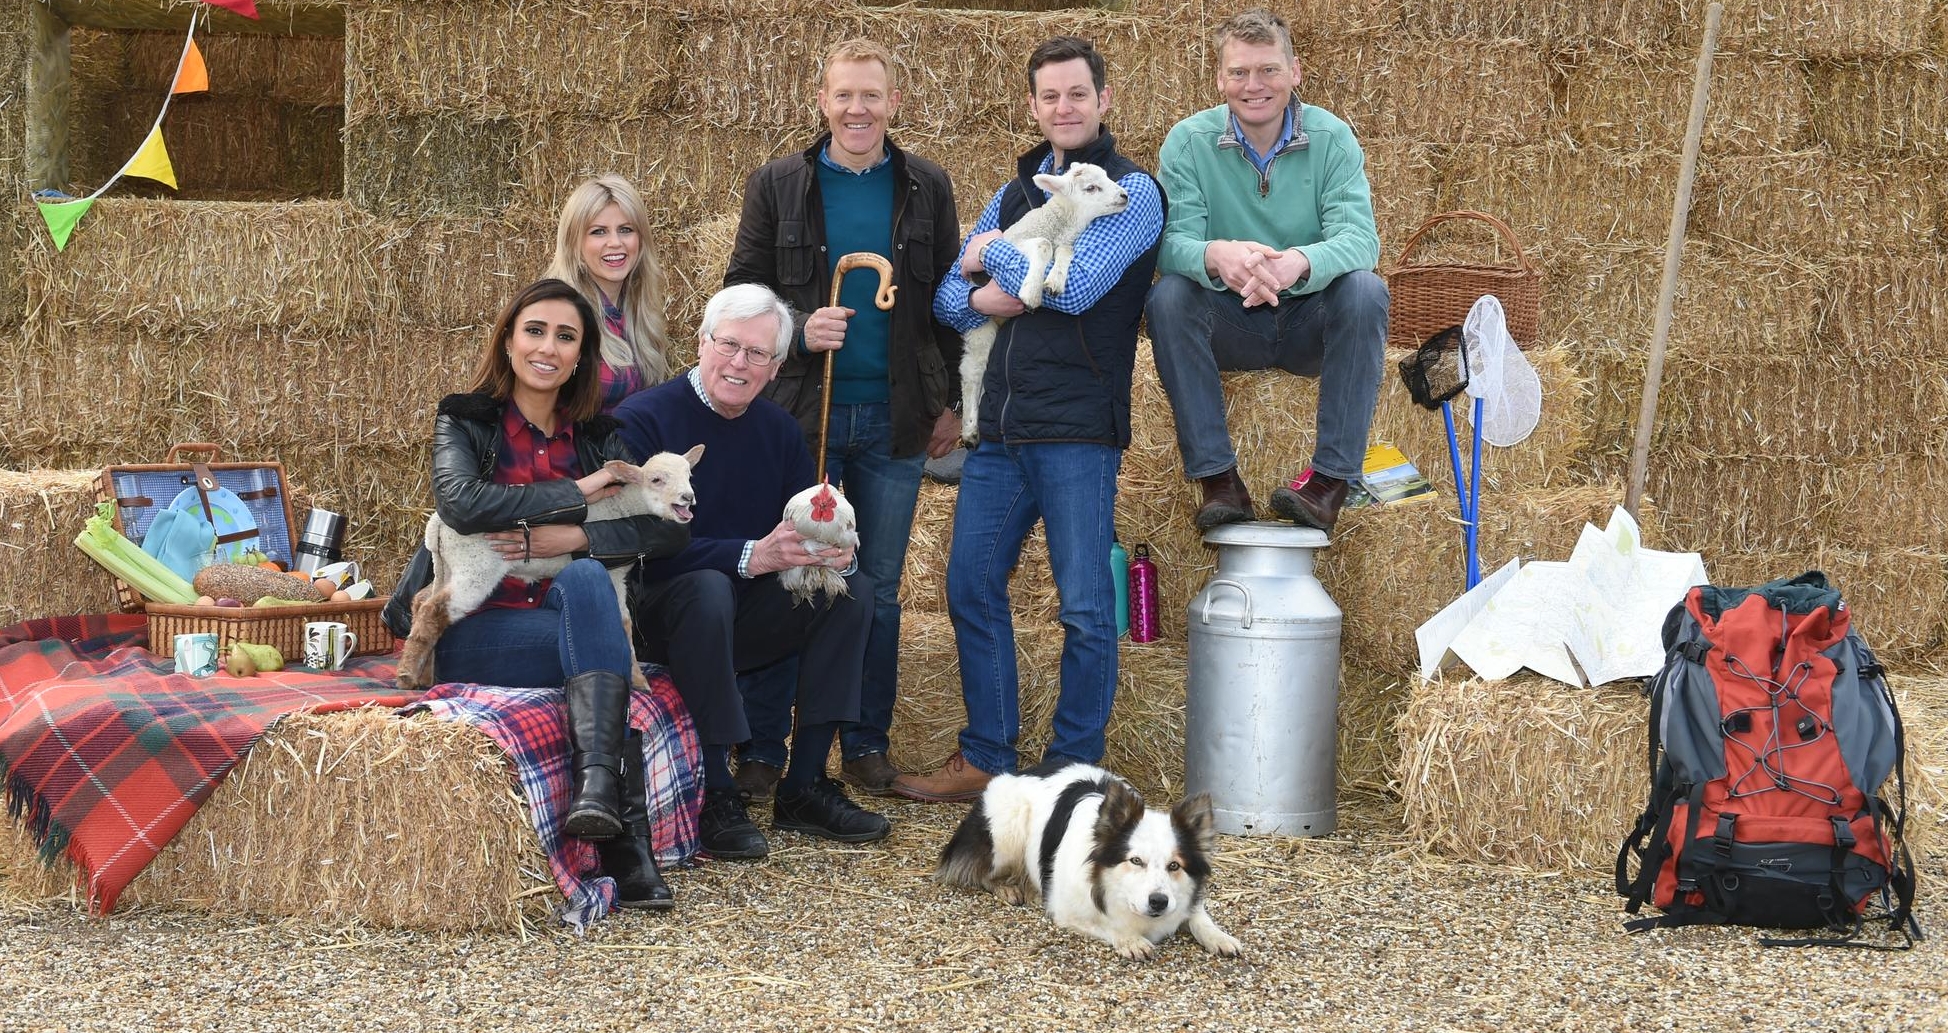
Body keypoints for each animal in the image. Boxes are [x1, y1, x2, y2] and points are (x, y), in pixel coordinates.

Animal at [391, 444, 705, 689]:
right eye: (656, 479)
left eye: (689, 476)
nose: (688, 497)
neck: (623, 508)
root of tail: (438, 523)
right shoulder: (611, 573)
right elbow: (623, 622)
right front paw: (639, 680)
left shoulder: (618, 575)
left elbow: (625, 620)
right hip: (476, 567)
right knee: (434, 609)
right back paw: (406, 675)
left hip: (451, 565)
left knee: (421, 601)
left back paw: (423, 675)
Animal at [935, 756, 1238, 955]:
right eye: (1135, 860)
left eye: (1174, 865)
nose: (1159, 902)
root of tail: (1017, 772)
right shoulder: (1068, 912)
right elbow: (1107, 923)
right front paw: (1130, 940)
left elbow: (1199, 916)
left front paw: (1219, 936)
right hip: (1005, 834)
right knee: (980, 870)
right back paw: (1007, 887)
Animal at [954, 162, 1129, 444]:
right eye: (1091, 187)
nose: (1124, 196)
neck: (1059, 223)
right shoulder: (1014, 242)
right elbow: (1044, 245)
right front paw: (1032, 293)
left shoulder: (1064, 244)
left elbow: (1066, 251)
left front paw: (1054, 282)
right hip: (980, 325)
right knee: (972, 370)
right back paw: (970, 429)